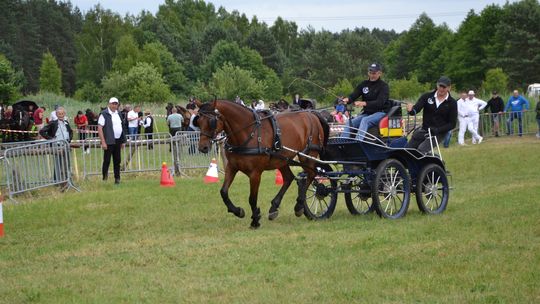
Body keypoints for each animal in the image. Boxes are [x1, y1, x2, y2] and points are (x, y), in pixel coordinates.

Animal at [194, 99, 330, 228]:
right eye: (198, 121)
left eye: (211, 121)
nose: (202, 147)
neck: (248, 133)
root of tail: (312, 114)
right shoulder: (231, 167)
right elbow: (223, 192)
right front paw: (238, 211)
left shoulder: (255, 173)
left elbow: (252, 198)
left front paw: (255, 220)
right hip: (282, 159)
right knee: (289, 178)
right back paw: (274, 208)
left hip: (307, 155)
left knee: (311, 174)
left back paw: (300, 205)